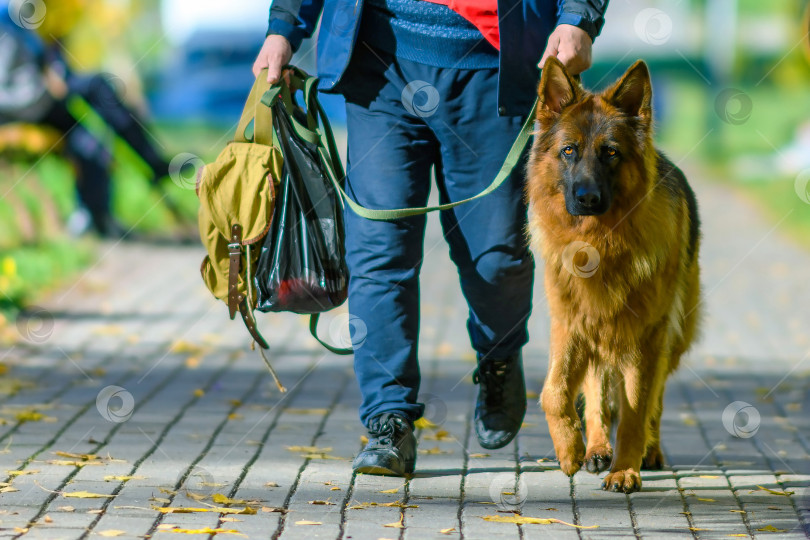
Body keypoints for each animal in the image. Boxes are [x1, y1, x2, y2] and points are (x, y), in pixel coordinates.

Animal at [528, 59, 696, 494]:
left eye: (611, 154)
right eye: (569, 150)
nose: (587, 199)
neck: (598, 244)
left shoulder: (648, 337)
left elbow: (638, 408)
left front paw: (625, 469)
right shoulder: (570, 325)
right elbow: (554, 392)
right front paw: (570, 449)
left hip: (669, 339)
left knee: (654, 399)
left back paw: (648, 451)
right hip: (598, 334)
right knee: (596, 389)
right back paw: (597, 447)